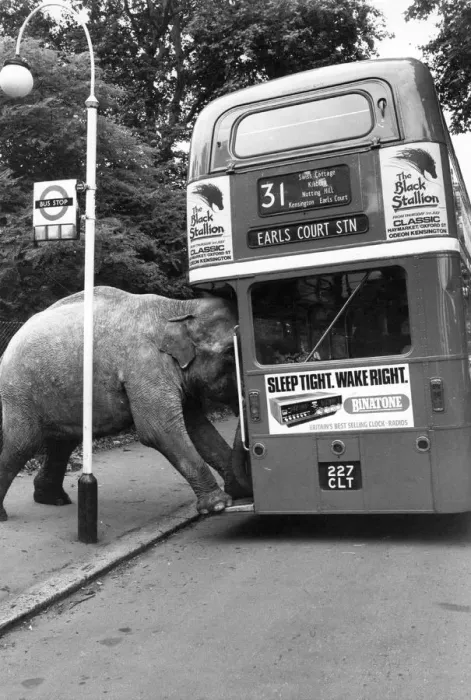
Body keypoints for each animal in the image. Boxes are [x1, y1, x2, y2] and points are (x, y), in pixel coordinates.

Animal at [0, 286, 251, 522]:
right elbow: (159, 430)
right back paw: (7, 513)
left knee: (63, 442)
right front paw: (218, 505)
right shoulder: (143, 364)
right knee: (23, 443)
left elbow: (197, 428)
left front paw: (236, 493)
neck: (179, 307)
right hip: (19, 391)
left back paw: (53, 499)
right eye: (230, 353)